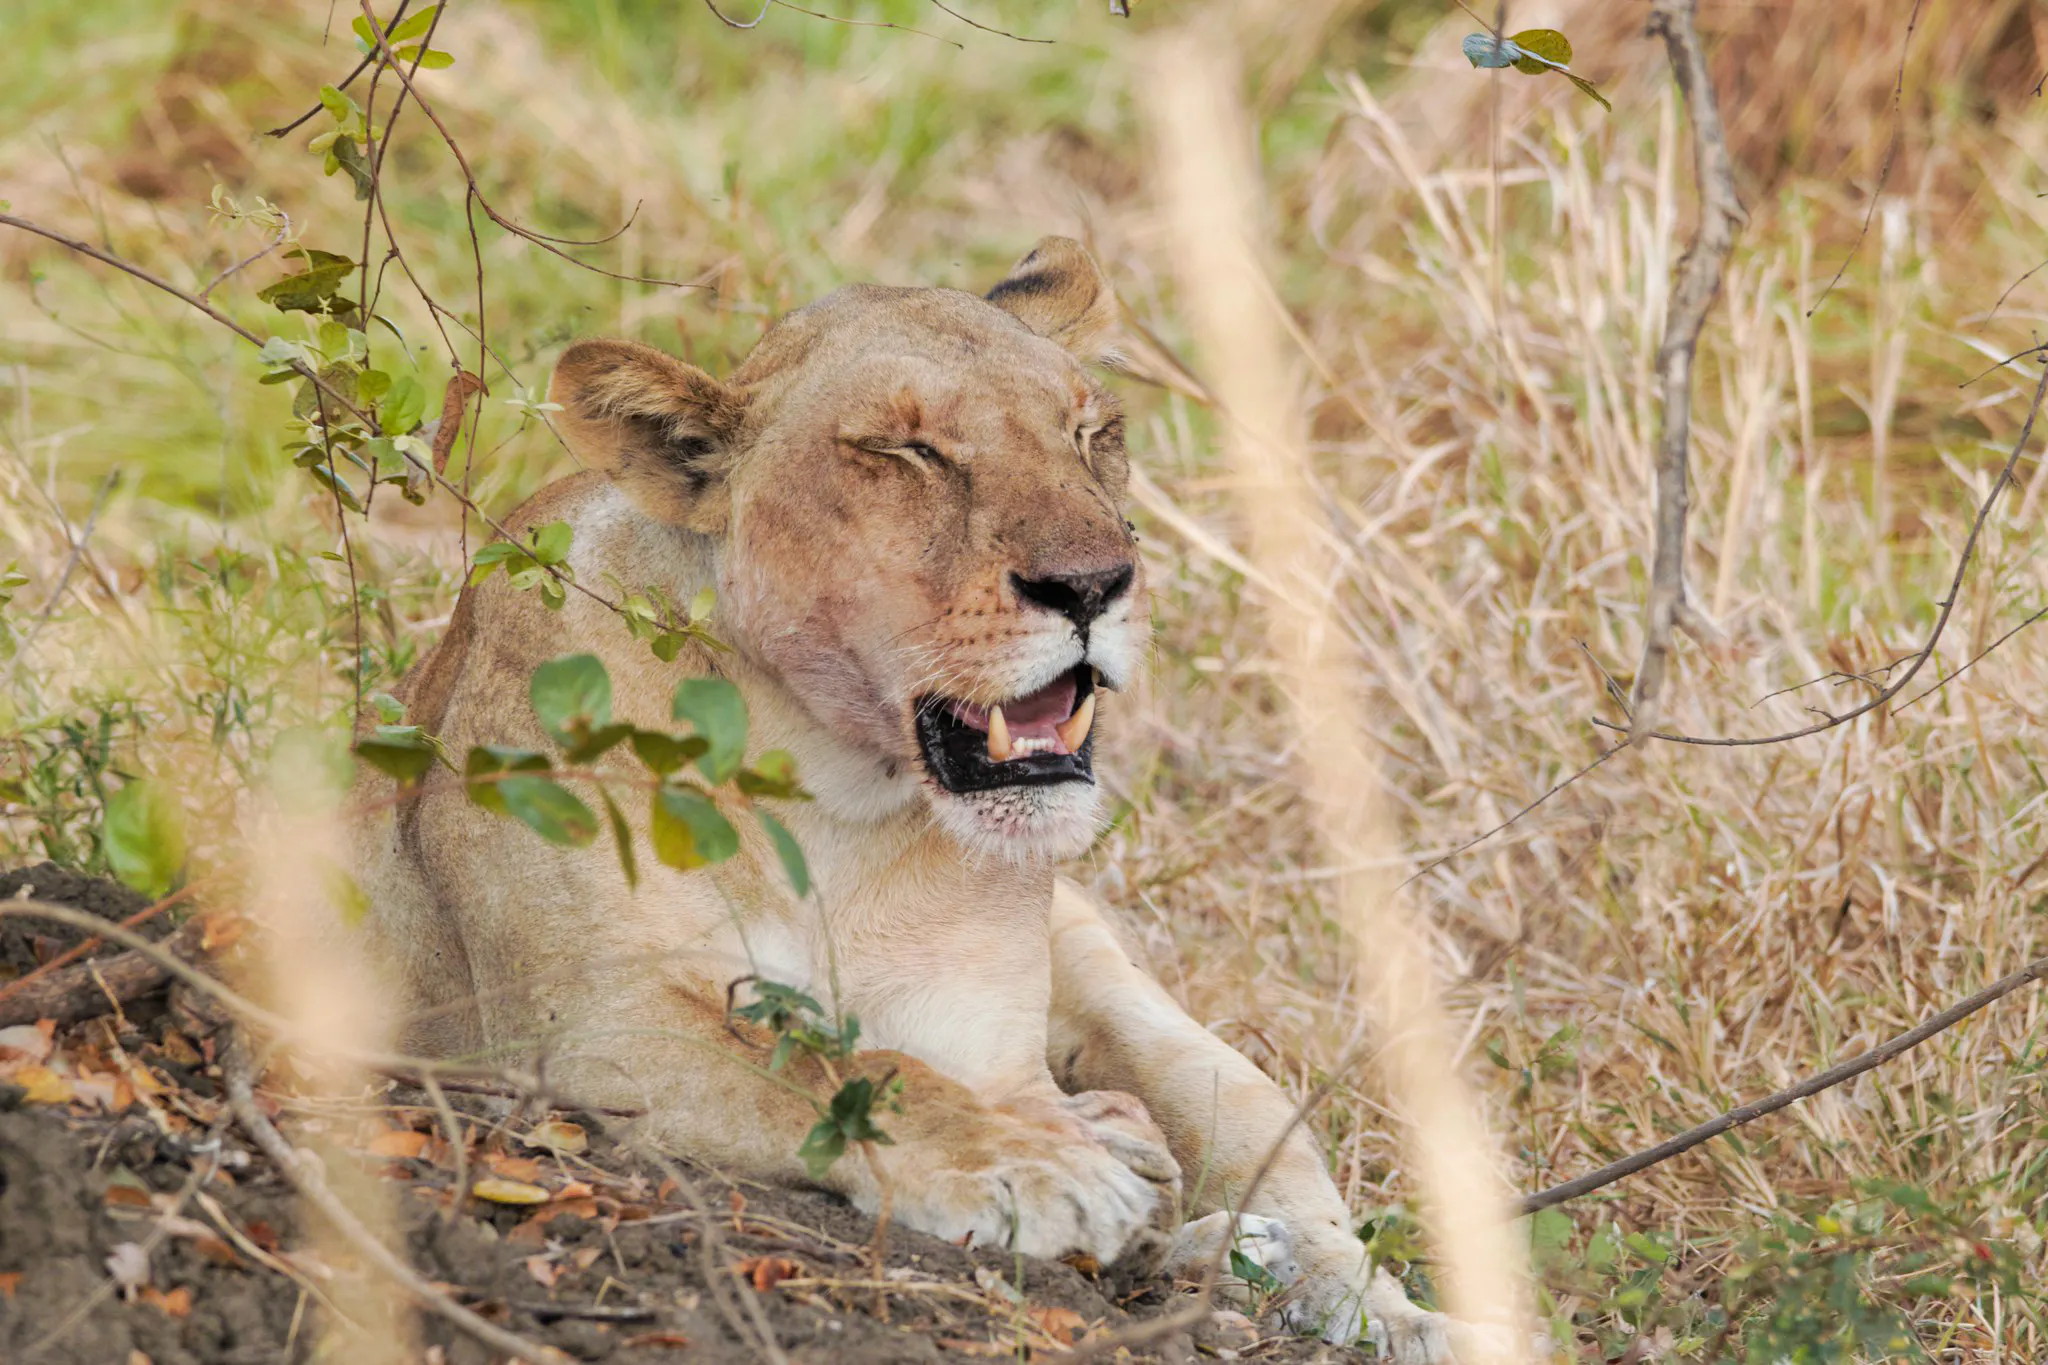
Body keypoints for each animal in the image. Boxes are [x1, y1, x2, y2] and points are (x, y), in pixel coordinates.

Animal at [350, 238, 1453, 1361]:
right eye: (906, 450)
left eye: (1088, 432)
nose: (1095, 582)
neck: (827, 791)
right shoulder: (579, 1026)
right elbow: (837, 1070)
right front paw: (1037, 1171)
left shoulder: (987, 1039)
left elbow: (899, 1067)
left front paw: (1081, 1164)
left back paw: (1378, 1305)